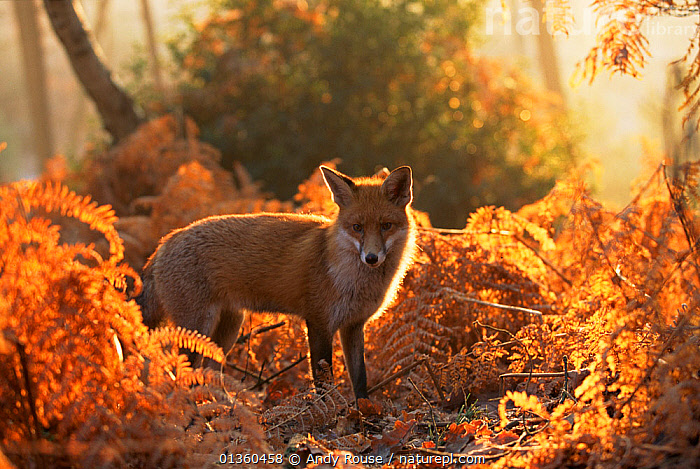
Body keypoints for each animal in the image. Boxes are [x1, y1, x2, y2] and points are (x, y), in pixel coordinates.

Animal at [135, 165, 416, 400]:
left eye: (386, 226)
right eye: (357, 227)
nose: (371, 258)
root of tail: (165, 241)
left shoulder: (353, 326)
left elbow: (360, 379)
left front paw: (364, 414)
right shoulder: (319, 323)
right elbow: (323, 382)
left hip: (226, 330)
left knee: (208, 372)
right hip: (197, 328)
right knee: (184, 373)